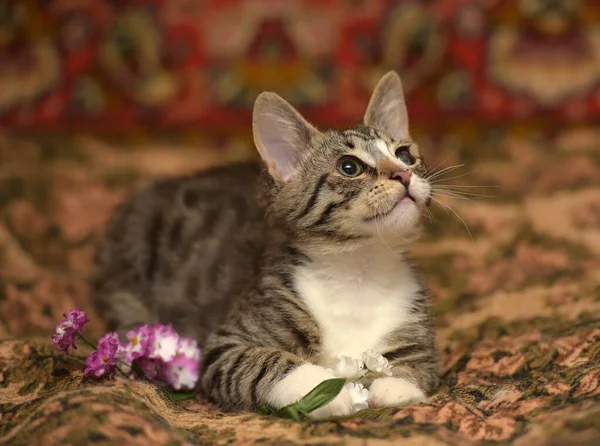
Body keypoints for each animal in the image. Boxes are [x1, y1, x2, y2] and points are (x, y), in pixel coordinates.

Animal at [95, 71, 440, 416]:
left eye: (405, 155)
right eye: (349, 167)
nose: (404, 174)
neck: (358, 270)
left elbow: (421, 363)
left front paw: (396, 384)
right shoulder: (225, 344)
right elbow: (261, 363)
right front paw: (324, 390)